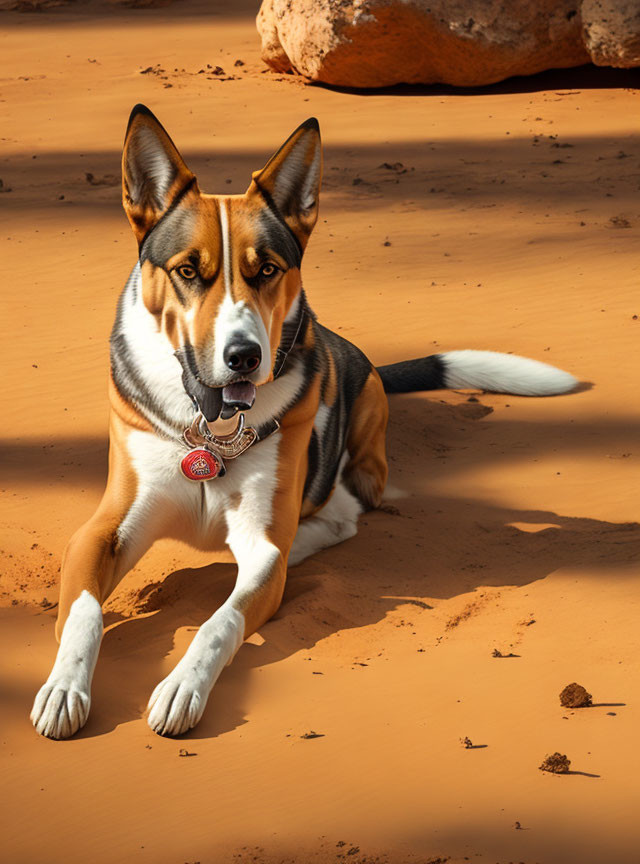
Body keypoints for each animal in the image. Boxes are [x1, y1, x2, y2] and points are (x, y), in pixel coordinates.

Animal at [31, 104, 576, 740]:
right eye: (188, 271)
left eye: (267, 270)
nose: (244, 356)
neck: (209, 429)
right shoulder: (103, 530)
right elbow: (84, 611)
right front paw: (64, 687)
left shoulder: (259, 542)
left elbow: (219, 622)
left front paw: (182, 687)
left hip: (362, 437)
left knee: (342, 514)